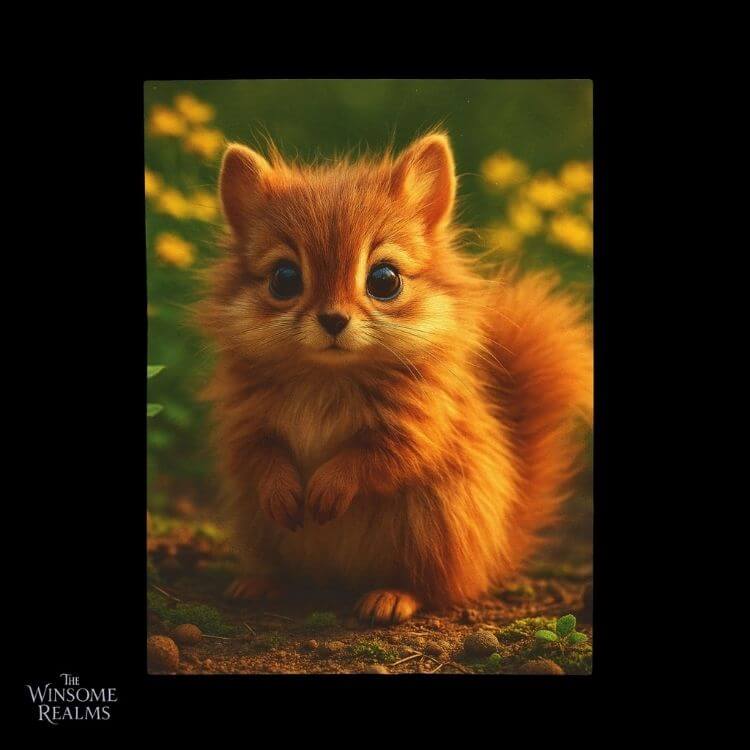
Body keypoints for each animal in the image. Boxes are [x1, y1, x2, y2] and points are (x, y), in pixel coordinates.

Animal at [197, 133, 592, 624]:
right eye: (283, 278)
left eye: (385, 280)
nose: (333, 320)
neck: (327, 376)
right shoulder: (244, 420)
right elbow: (257, 454)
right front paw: (283, 491)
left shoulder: (420, 423)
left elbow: (381, 458)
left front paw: (328, 489)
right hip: (261, 530)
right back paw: (260, 584)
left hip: (434, 530)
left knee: (433, 587)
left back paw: (390, 597)